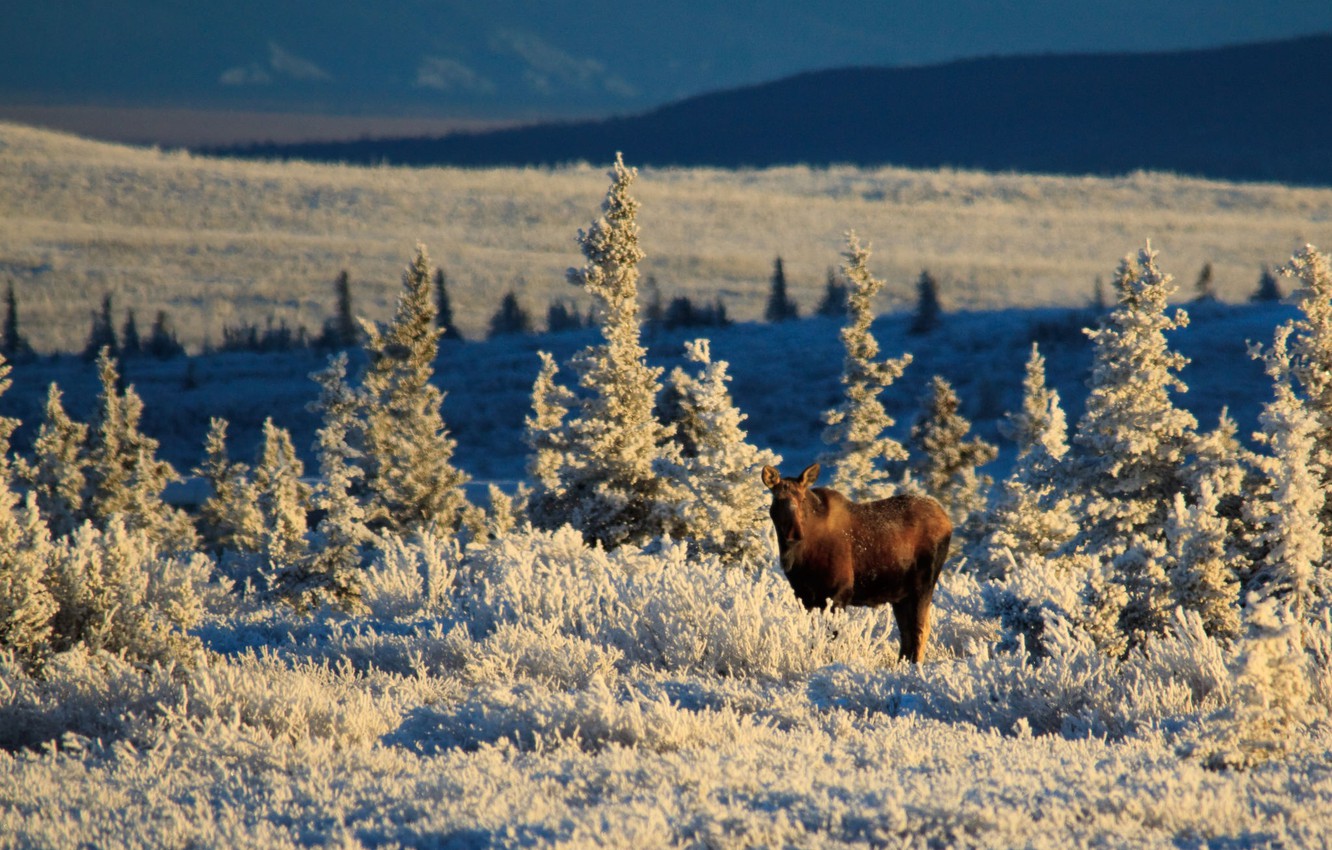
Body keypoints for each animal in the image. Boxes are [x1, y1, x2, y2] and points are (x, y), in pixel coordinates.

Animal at [761, 466, 948, 666]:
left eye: (802, 499)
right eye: (778, 500)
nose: (794, 533)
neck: (800, 559)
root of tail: (947, 520)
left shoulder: (839, 592)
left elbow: (832, 638)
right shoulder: (804, 597)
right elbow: (814, 637)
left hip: (923, 585)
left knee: (921, 629)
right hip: (901, 595)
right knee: (907, 633)